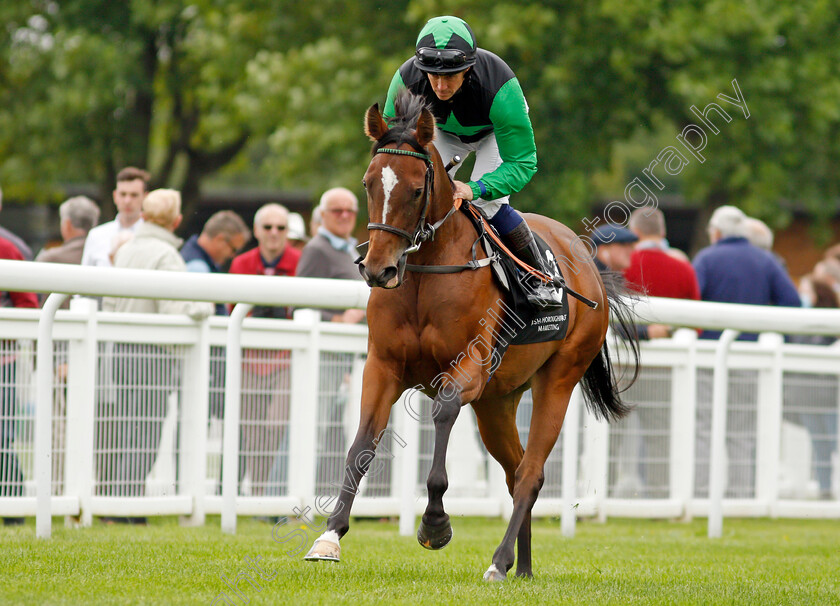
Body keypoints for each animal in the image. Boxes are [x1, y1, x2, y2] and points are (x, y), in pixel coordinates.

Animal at [306, 91, 640, 584]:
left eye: (416, 189)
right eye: (368, 184)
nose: (379, 269)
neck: (425, 272)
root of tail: (587, 264)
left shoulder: (469, 368)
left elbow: (443, 414)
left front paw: (435, 524)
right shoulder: (382, 366)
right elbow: (361, 445)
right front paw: (329, 536)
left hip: (557, 380)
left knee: (530, 473)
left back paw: (499, 562)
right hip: (497, 402)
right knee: (517, 470)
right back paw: (522, 567)